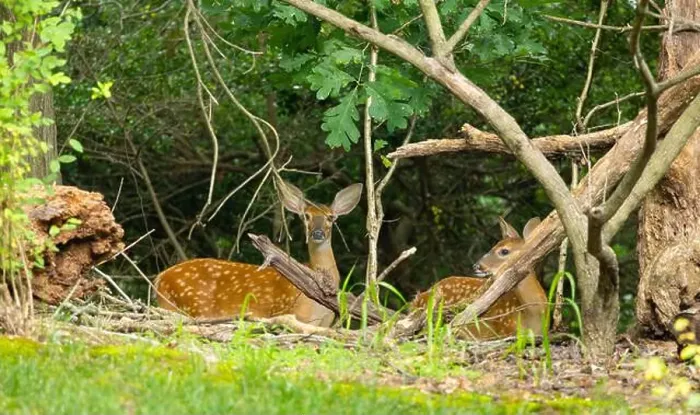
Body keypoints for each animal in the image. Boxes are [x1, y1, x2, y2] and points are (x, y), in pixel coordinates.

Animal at [154, 181, 363, 327]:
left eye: (331, 217)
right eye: (306, 216)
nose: (317, 233)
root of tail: (159, 279)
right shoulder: (292, 311)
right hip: (196, 303)